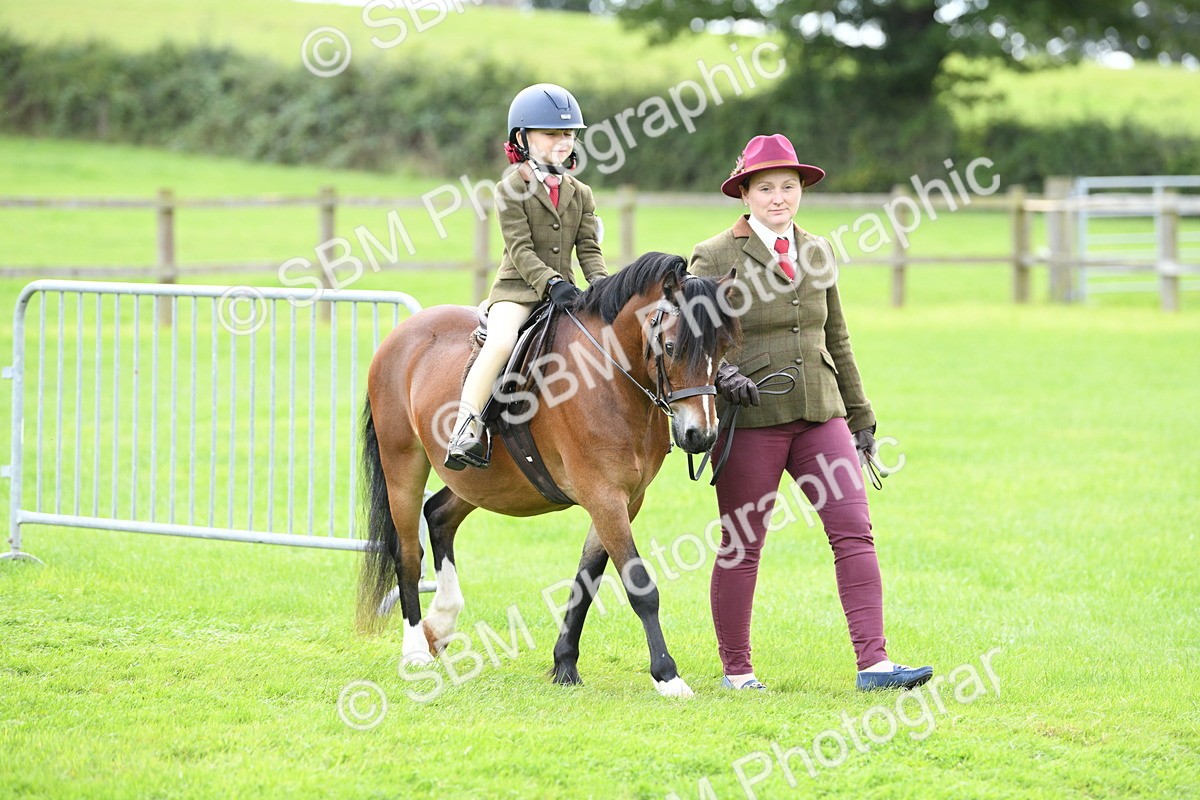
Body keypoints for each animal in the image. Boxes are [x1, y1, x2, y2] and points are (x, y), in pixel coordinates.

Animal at [356, 252, 739, 697]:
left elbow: (587, 581)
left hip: (481, 483)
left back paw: (442, 622)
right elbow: (640, 585)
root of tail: (401, 336)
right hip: (402, 464)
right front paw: (667, 676)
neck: (610, 379)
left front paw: (565, 664)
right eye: (673, 347)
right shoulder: (603, 495)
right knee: (407, 552)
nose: (701, 434)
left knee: (438, 516)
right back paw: (417, 649)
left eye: (724, 347)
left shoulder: (625, 499)